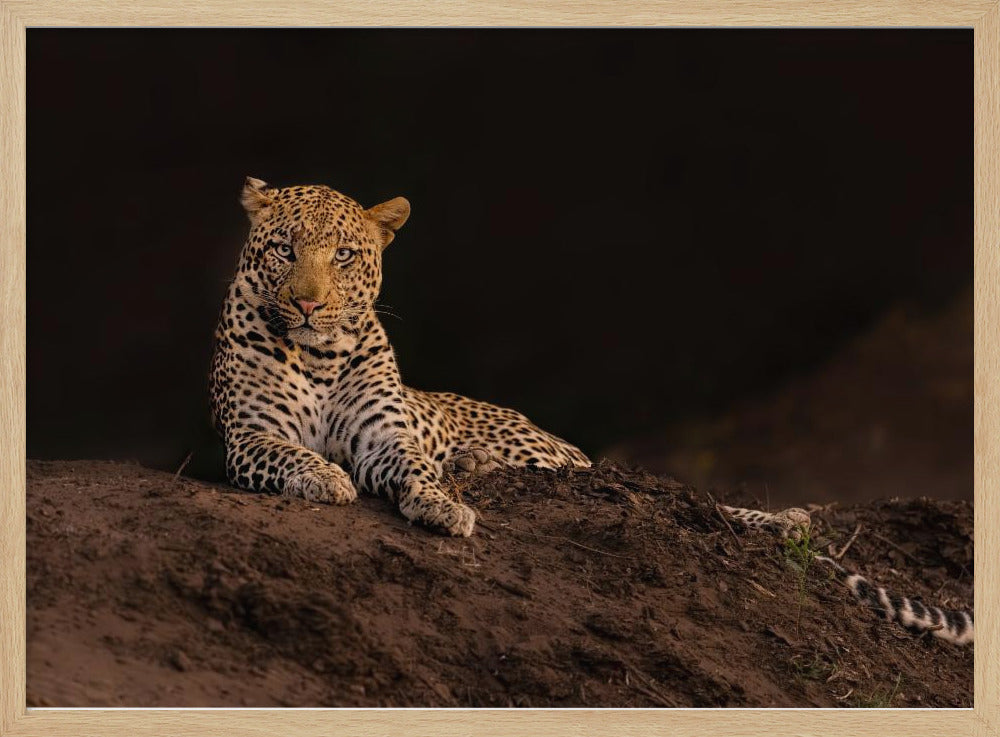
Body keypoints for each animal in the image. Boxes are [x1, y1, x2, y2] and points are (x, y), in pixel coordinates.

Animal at [210, 178, 589, 538]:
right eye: (285, 250)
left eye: (343, 254)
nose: (308, 304)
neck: (320, 357)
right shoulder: (253, 434)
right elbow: (290, 453)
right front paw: (325, 477)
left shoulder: (382, 436)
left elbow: (414, 466)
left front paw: (442, 506)